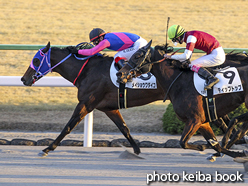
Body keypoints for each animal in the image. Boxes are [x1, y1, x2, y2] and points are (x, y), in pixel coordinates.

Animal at [117, 40, 248, 158]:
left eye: (137, 56)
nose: (120, 74)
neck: (179, 82)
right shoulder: (202, 122)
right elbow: (214, 144)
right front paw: (228, 152)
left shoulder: (195, 119)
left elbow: (183, 142)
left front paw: (207, 147)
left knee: (236, 122)